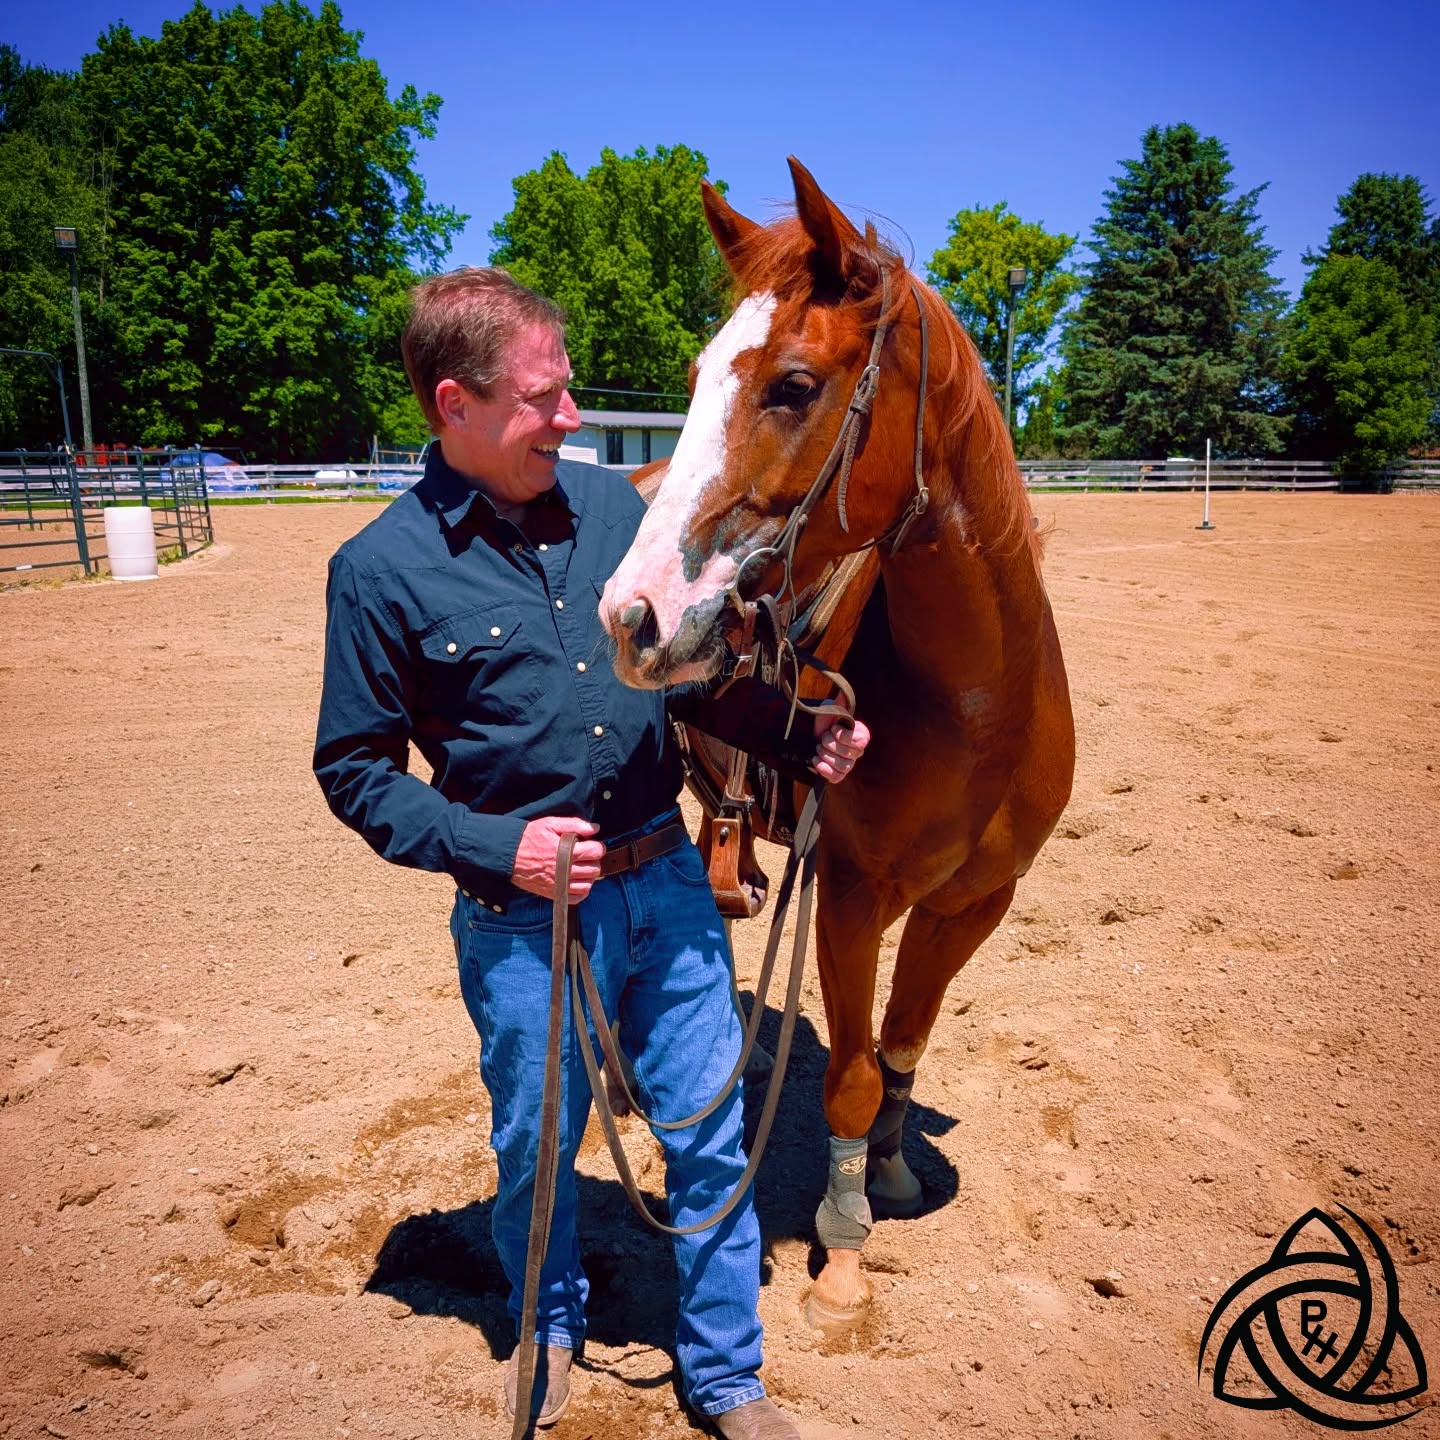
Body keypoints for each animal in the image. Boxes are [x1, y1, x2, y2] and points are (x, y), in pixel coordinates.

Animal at [599, 157, 1075, 1329]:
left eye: (794, 385)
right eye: (693, 378)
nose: (636, 611)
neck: (977, 707)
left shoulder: (975, 902)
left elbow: (903, 1043)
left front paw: (894, 1171)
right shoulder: (855, 896)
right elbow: (852, 1072)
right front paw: (845, 1250)